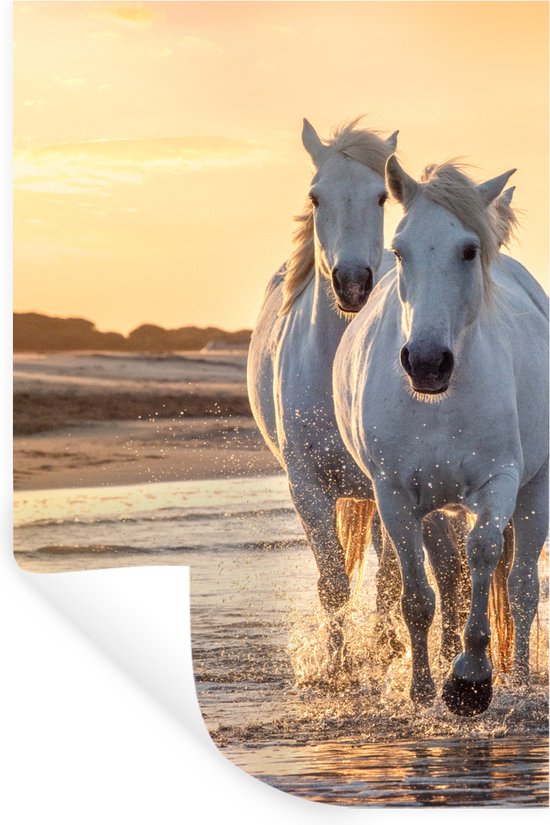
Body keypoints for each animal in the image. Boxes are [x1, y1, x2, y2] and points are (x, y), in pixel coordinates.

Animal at [247, 118, 465, 677]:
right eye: (315, 196)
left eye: (380, 198)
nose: (351, 283)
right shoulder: (307, 488)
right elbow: (332, 584)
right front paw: (338, 666)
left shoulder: (393, 487)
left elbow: (391, 578)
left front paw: (384, 652)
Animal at [333, 156, 548, 714]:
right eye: (399, 251)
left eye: (469, 250)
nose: (427, 363)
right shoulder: (395, 496)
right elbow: (417, 597)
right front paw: (424, 688)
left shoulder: (499, 483)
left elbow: (484, 556)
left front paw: (471, 679)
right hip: (434, 506)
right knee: (448, 580)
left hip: (535, 491)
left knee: (521, 588)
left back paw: (520, 678)